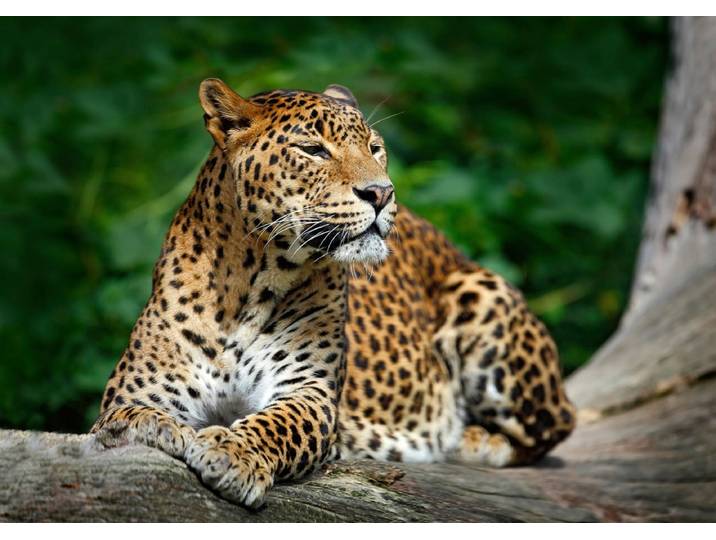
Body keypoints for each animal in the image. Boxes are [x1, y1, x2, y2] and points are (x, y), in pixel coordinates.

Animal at [91, 78, 575, 509]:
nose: (381, 192)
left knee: (555, 425)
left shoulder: (310, 392)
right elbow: (126, 419)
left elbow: (276, 424)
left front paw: (231, 453)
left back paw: (469, 438)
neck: (250, 282)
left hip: (482, 294)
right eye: (313, 150)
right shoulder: (136, 392)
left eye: (375, 148)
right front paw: (162, 430)